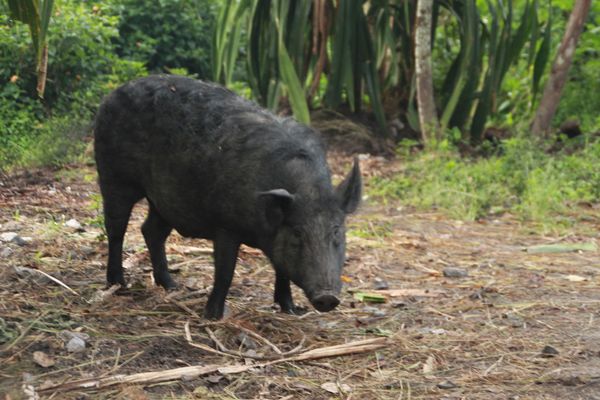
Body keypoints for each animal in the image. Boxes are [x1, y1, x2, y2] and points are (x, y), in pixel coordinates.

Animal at [94, 74, 360, 318]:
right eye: (297, 233)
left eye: (337, 231)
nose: (327, 297)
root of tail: (114, 93)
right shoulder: (225, 225)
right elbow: (225, 271)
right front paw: (213, 316)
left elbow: (281, 269)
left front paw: (291, 310)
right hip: (113, 176)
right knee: (116, 229)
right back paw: (118, 284)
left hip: (163, 199)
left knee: (150, 231)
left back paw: (172, 286)